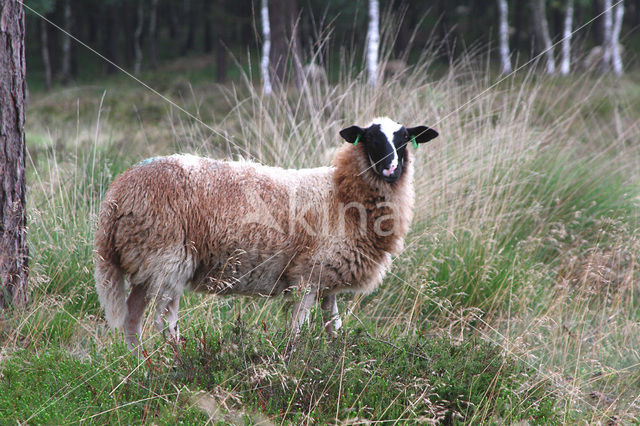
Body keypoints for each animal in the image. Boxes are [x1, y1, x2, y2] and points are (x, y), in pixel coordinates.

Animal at [94, 117, 436, 350]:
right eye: (370, 139)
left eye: (404, 138)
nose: (390, 168)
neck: (340, 193)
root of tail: (118, 193)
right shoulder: (307, 276)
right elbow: (298, 328)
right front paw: (293, 359)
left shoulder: (328, 278)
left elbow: (333, 327)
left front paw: (335, 358)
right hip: (168, 259)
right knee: (163, 322)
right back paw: (176, 363)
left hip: (143, 260)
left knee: (132, 318)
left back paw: (142, 366)